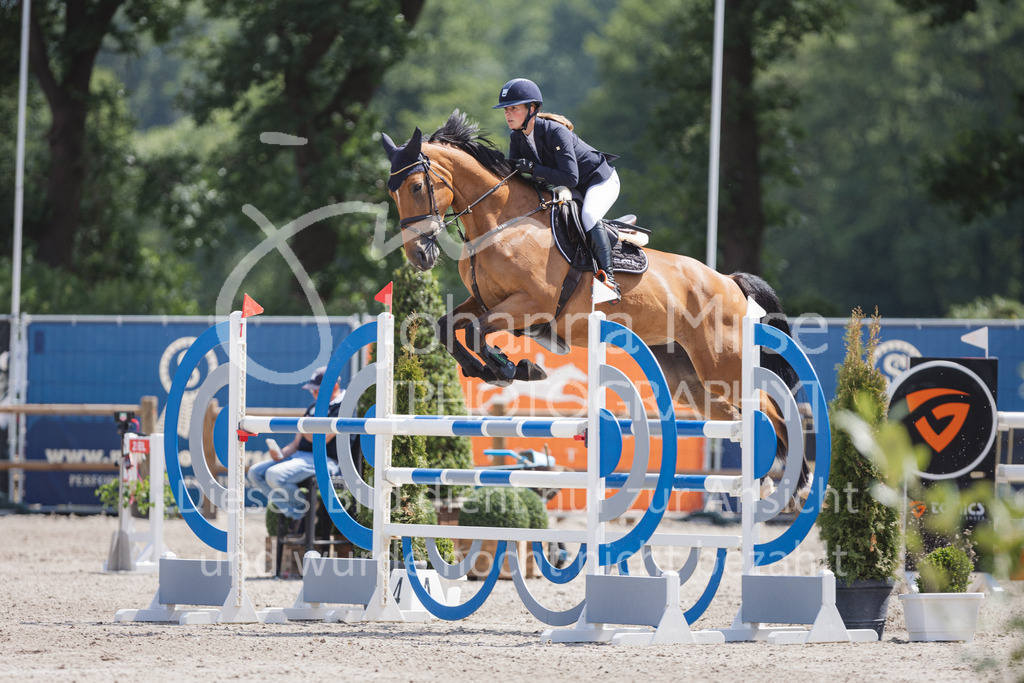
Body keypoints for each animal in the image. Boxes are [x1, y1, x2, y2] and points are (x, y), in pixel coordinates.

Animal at [381, 110, 804, 486]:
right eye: (392, 192)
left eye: (416, 187)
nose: (418, 256)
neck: (502, 223)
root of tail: (729, 282)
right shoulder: (486, 301)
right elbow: (448, 327)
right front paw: (494, 368)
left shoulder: (528, 305)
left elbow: (476, 332)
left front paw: (510, 368)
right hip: (692, 378)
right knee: (735, 412)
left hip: (722, 362)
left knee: (771, 407)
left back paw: (795, 481)